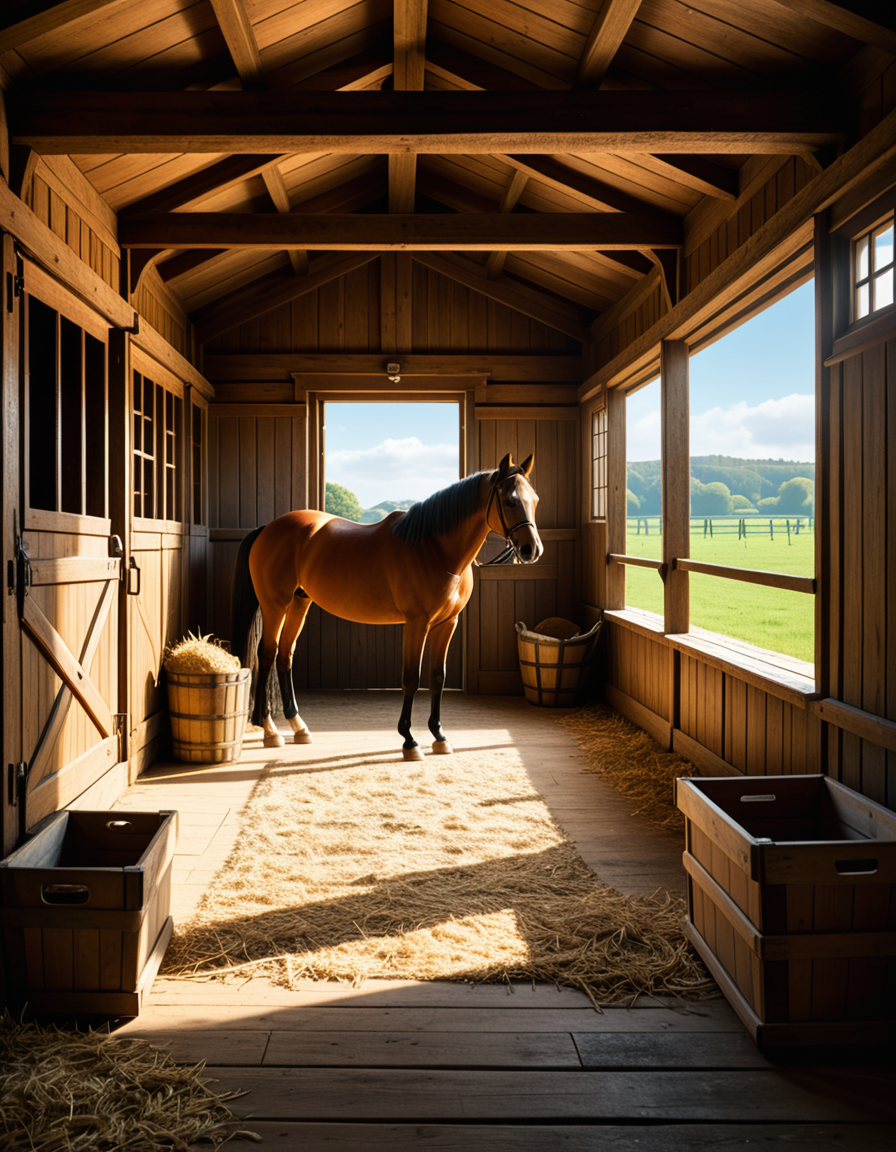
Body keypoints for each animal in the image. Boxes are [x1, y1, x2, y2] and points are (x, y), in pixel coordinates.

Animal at [231, 453, 543, 760]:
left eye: (535, 500)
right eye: (510, 501)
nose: (532, 550)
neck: (434, 549)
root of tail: (268, 528)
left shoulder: (447, 624)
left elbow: (437, 677)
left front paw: (439, 736)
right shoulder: (417, 623)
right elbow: (411, 678)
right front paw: (409, 740)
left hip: (299, 602)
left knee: (285, 656)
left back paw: (298, 726)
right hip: (275, 604)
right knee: (267, 654)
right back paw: (269, 730)